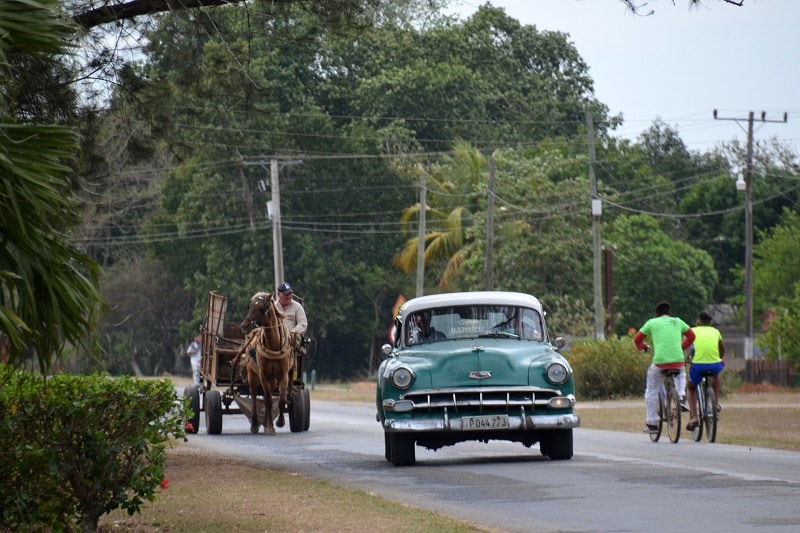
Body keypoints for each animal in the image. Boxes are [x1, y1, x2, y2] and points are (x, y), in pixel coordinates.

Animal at [236, 294, 292, 434]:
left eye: (261, 308)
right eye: (249, 306)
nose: (245, 325)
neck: (273, 347)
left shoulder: (283, 375)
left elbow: (281, 400)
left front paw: (279, 422)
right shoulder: (263, 375)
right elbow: (268, 400)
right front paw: (270, 426)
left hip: (272, 379)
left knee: (268, 395)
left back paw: (266, 421)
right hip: (252, 374)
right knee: (254, 395)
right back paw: (255, 424)